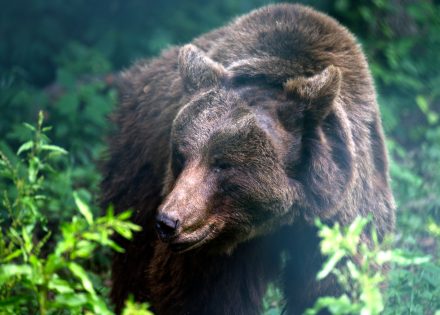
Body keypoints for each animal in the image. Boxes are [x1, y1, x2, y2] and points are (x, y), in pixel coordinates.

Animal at [102, 3, 396, 315]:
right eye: (181, 155)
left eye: (222, 164)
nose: (168, 221)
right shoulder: (211, 249)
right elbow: (202, 296)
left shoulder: (336, 216)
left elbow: (333, 288)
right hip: (139, 163)